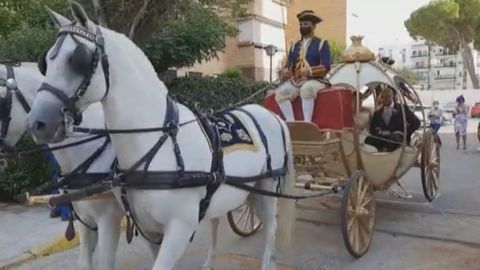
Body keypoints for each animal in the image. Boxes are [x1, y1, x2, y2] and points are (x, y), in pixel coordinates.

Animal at [28, 3, 294, 270]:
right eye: (45, 62)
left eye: (78, 60)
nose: (37, 123)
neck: (158, 143)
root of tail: (270, 114)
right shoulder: (149, 229)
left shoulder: (178, 228)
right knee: (218, 221)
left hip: (267, 189)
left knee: (270, 232)